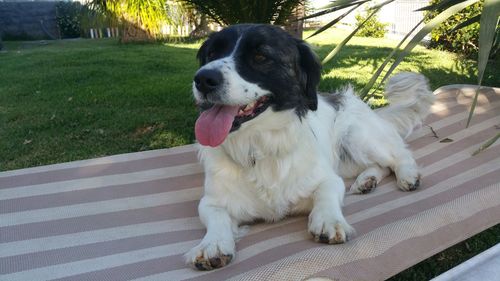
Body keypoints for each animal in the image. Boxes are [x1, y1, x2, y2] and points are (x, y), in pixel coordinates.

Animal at [184, 24, 434, 270]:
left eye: (260, 56)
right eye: (212, 54)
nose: (203, 79)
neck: (258, 148)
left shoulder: (327, 178)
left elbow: (327, 192)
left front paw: (328, 220)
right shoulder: (211, 201)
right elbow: (216, 216)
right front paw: (213, 244)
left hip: (358, 138)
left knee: (399, 155)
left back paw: (407, 175)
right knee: (379, 166)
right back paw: (367, 180)